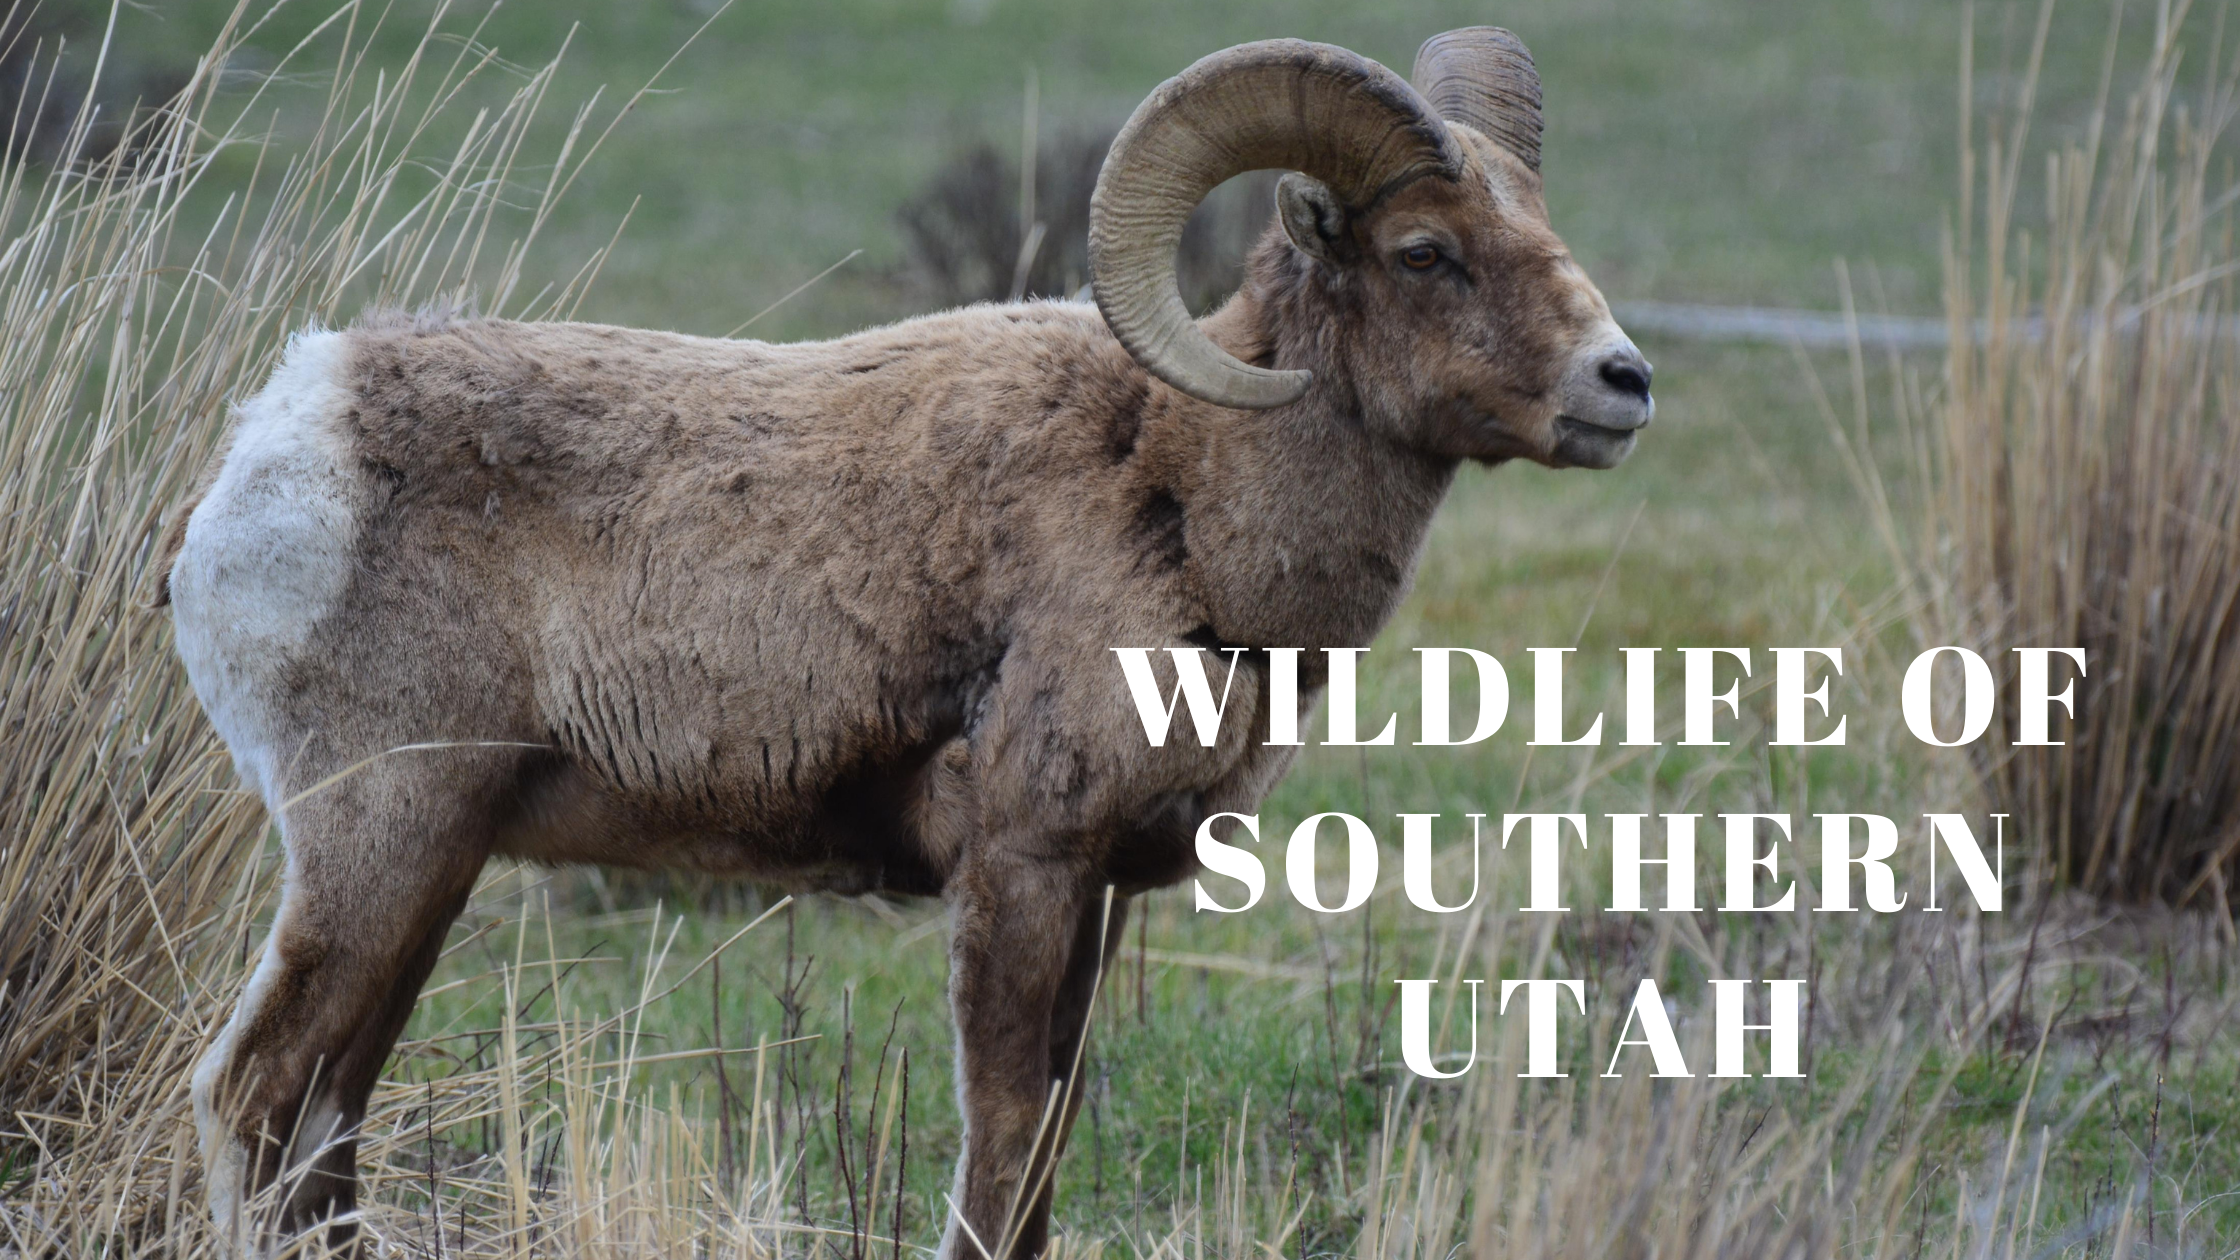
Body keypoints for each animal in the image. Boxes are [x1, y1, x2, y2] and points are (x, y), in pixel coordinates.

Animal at [160, 28, 1652, 1259]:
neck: (1184, 493)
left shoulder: (1096, 896)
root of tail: (291, 427)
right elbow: (998, 1155)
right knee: (256, 1099)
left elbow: (1042, 1155)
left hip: (433, 872)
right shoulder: (1020, 871)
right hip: (379, 845)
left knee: (324, 1133)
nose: (1622, 385)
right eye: (1424, 252)